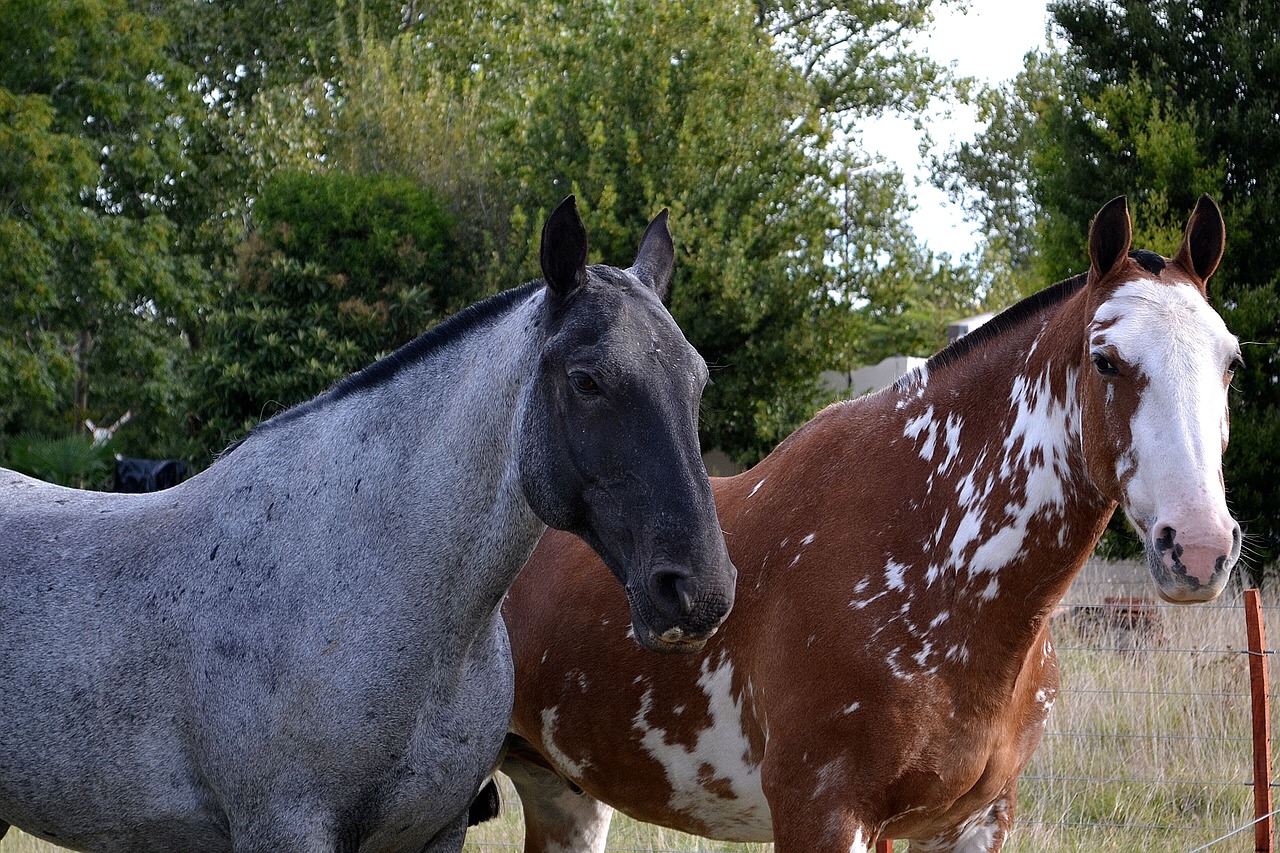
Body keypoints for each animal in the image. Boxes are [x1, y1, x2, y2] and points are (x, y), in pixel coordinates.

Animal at [496, 195, 1239, 845]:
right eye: (1106, 360)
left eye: (1231, 362)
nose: (1200, 547)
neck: (930, 554)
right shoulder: (823, 813)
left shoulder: (975, 821)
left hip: (565, 796)